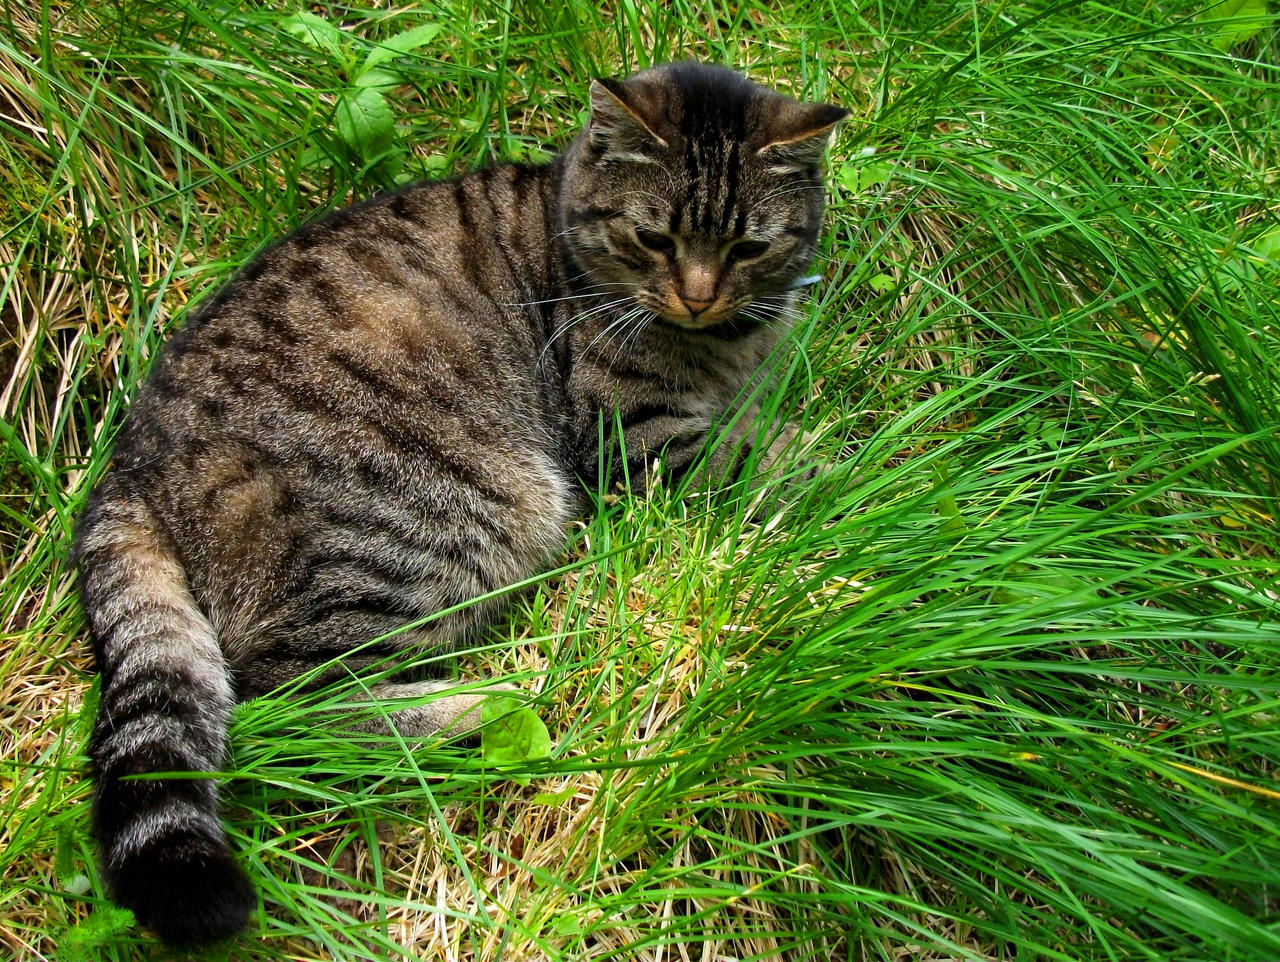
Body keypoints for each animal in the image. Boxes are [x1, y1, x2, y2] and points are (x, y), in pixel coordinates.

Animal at [72, 62, 849, 946]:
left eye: (749, 247)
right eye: (654, 239)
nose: (697, 297)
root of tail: (128, 466)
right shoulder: (637, 434)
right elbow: (784, 460)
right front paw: (891, 474)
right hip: (442, 518)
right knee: (296, 708)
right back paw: (482, 704)